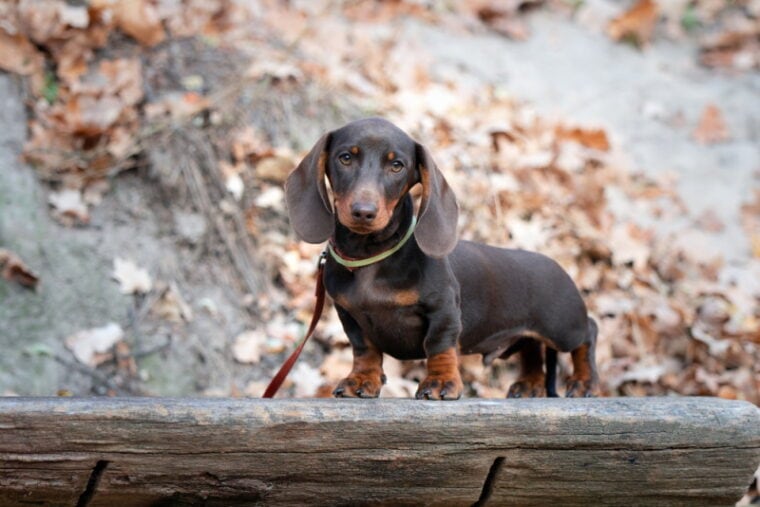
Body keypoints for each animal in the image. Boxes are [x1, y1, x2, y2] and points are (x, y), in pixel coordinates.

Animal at [284, 119, 600, 400]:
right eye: (346, 158)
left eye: (397, 165)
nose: (364, 211)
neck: (370, 256)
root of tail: (557, 265)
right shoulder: (349, 315)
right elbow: (365, 350)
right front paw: (361, 379)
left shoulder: (443, 309)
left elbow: (439, 346)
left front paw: (441, 382)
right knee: (533, 351)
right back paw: (529, 385)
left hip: (562, 327)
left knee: (589, 332)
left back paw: (584, 383)